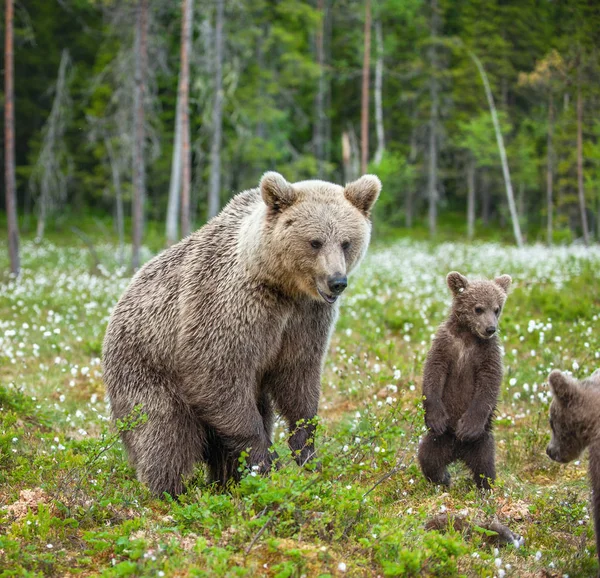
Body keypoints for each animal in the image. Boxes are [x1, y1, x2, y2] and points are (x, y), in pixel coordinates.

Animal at [102, 171, 380, 496]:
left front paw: (306, 452)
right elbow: (220, 378)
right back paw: (170, 491)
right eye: (315, 242)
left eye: (346, 242)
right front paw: (267, 460)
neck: (283, 286)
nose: (337, 282)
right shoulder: (231, 309)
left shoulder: (305, 320)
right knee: (164, 433)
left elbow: (298, 378)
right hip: (145, 366)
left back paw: (226, 481)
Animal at [418, 270, 510, 486]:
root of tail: (458, 452)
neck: (468, 336)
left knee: (485, 465)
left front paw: (467, 427)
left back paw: (485, 487)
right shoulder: (446, 345)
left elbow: (488, 385)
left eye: (497, 309)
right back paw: (443, 478)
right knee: (428, 458)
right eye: (478, 308)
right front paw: (436, 418)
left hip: (482, 441)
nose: (490, 328)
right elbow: (433, 374)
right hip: (438, 440)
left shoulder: (487, 354)